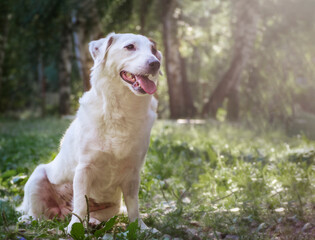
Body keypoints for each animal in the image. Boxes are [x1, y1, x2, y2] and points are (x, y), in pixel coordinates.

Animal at [17, 32, 162, 232]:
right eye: (130, 47)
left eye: (153, 50)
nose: (156, 63)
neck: (121, 111)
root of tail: (61, 213)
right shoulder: (84, 168)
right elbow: (80, 203)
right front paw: (74, 227)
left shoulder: (133, 172)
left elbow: (134, 206)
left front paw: (141, 228)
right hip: (37, 177)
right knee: (36, 214)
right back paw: (30, 220)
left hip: (113, 207)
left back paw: (93, 221)